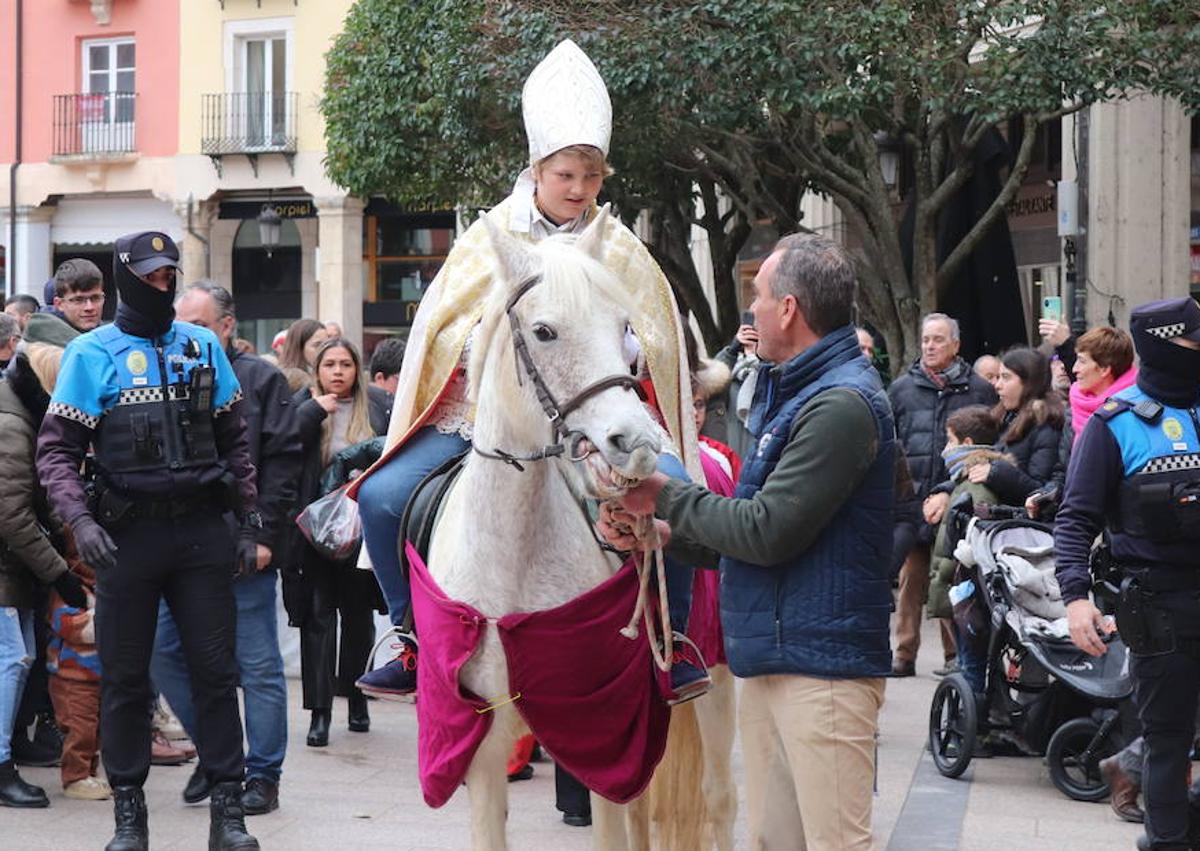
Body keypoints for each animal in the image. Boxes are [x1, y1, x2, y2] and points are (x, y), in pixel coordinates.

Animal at [427, 207, 734, 849]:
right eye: (544, 331)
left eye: (625, 328)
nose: (635, 443)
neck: (514, 558)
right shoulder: (481, 748)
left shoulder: (601, 730)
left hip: (717, 684)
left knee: (721, 801)